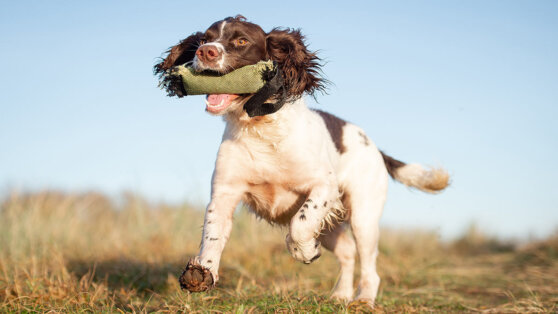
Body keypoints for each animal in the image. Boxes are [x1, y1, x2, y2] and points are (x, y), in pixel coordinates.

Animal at [154, 15, 450, 306]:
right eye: (205, 38)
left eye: (241, 41)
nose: (205, 52)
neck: (262, 128)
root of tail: (375, 147)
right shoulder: (224, 193)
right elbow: (213, 234)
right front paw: (202, 271)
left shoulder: (324, 187)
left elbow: (300, 224)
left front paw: (303, 252)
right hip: (333, 225)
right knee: (347, 251)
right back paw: (340, 295)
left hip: (363, 216)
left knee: (368, 264)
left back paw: (364, 299)